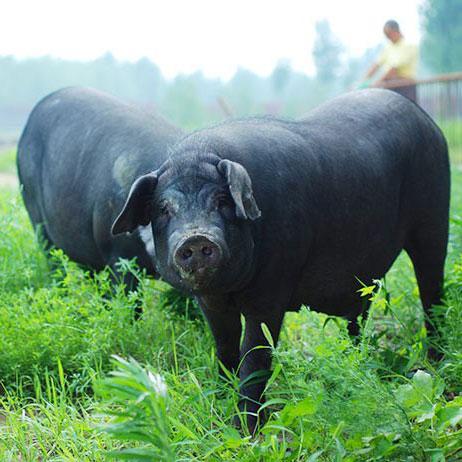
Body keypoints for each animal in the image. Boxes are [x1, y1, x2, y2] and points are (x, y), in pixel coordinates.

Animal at [111, 88, 448, 432]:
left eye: (222, 201)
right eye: (164, 209)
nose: (195, 238)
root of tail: (425, 119)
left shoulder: (273, 289)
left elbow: (255, 357)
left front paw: (245, 430)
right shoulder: (211, 303)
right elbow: (225, 349)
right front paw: (220, 407)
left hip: (434, 216)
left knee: (431, 291)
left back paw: (435, 362)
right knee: (360, 316)